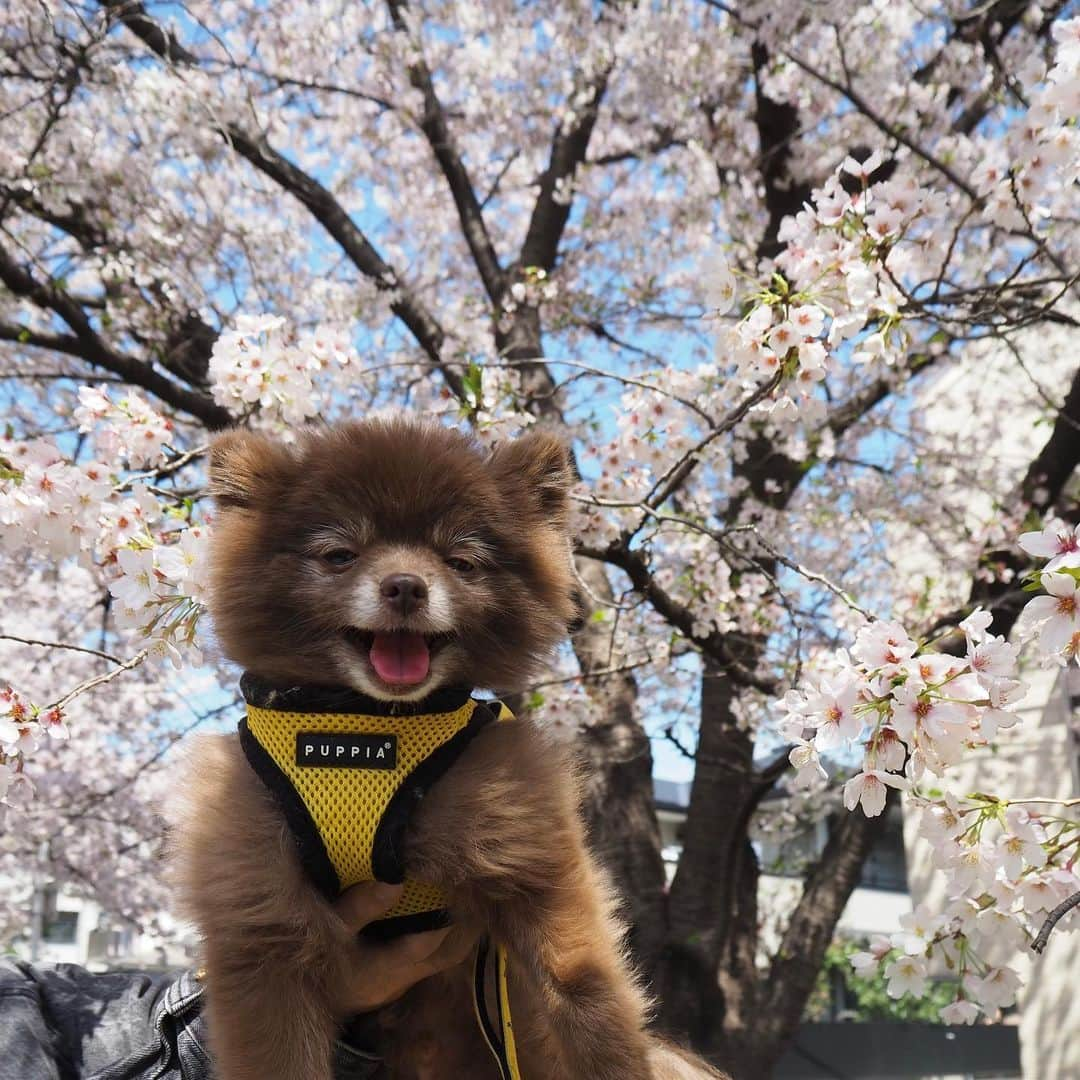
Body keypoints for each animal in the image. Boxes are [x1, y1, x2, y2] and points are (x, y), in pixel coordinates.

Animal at [170, 416, 725, 1080]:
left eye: (461, 561)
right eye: (340, 555)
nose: (406, 585)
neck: (366, 724)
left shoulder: (534, 864)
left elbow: (588, 1000)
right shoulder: (261, 916)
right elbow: (278, 1054)